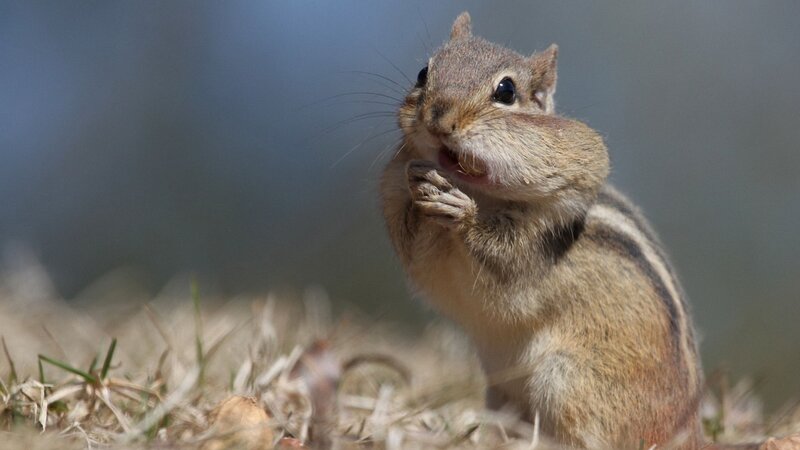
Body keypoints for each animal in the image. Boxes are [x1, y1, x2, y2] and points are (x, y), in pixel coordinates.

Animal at [380, 12, 708, 449]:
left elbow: (506, 259)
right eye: (423, 72)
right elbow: (417, 250)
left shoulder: (541, 239)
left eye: (506, 91)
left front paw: (463, 214)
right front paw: (420, 186)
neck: (483, 193)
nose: (437, 119)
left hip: (566, 382)